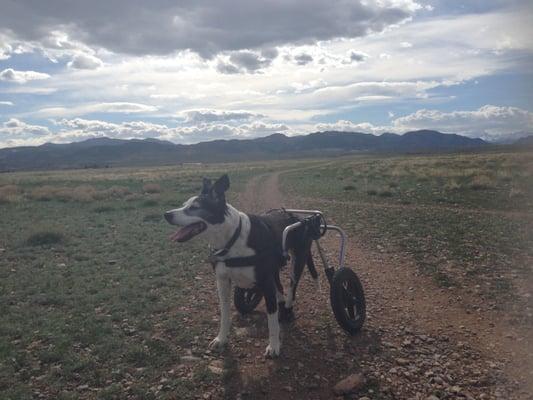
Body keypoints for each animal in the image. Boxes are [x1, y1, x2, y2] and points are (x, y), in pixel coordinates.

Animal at [162, 175, 316, 356]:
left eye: (195, 207)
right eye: (185, 204)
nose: (166, 215)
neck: (232, 239)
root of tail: (297, 217)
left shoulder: (265, 283)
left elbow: (271, 319)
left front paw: (273, 346)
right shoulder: (222, 282)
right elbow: (224, 314)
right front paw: (221, 339)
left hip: (298, 262)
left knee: (291, 289)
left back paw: (287, 311)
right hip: (274, 270)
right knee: (280, 288)